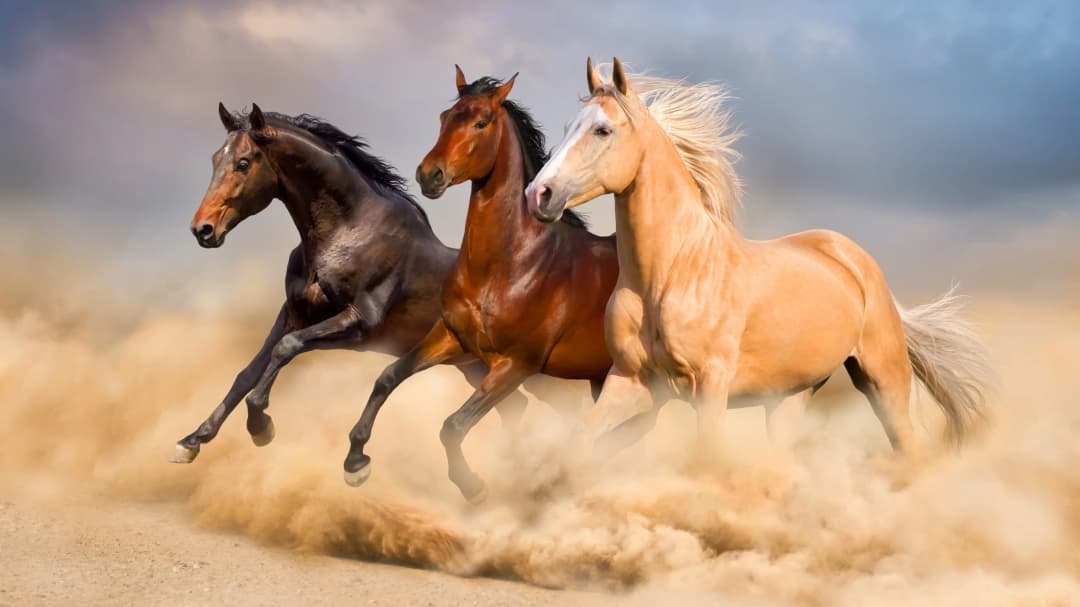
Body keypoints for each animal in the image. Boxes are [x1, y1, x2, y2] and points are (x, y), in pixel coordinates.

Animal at [170, 103, 528, 463]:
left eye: (243, 163)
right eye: (215, 159)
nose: (203, 229)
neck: (346, 233)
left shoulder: (358, 324)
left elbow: (287, 348)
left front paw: (260, 425)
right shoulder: (294, 313)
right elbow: (248, 372)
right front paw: (192, 441)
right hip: (474, 367)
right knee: (514, 406)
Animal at [341, 67, 619, 502]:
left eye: (481, 122)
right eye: (444, 117)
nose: (430, 174)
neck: (510, 266)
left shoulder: (515, 365)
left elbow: (453, 425)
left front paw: (473, 486)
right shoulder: (453, 338)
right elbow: (388, 377)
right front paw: (355, 462)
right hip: (600, 379)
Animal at [525, 58, 993, 458]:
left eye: (602, 130)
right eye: (569, 126)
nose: (538, 194)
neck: (670, 273)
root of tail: (857, 261)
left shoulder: (710, 386)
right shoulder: (630, 382)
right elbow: (581, 441)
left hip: (884, 381)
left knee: (908, 447)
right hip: (789, 398)